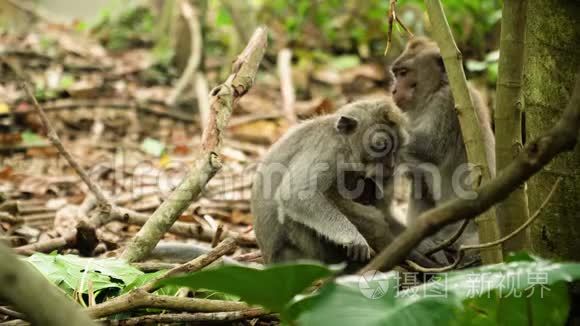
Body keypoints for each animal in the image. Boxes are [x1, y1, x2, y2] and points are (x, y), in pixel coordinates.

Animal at [388, 36, 496, 250]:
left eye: (404, 73)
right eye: (396, 74)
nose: (394, 90)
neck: (437, 88)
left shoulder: (447, 104)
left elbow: (431, 149)